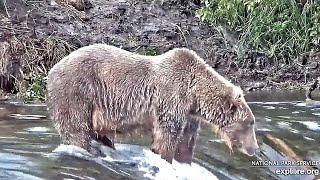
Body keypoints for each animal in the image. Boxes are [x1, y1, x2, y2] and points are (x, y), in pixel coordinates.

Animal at [47, 44, 258, 164]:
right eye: (250, 123)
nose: (255, 148)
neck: (194, 95)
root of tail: (52, 69)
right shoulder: (171, 98)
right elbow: (166, 137)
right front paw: (164, 157)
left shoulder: (189, 115)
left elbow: (186, 142)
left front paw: (183, 162)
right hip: (77, 91)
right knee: (76, 129)